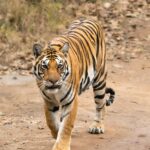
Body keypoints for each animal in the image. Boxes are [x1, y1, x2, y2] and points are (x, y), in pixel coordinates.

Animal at [32, 18, 115, 150]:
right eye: (45, 66)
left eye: (59, 66)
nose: (53, 81)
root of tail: (89, 18)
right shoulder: (48, 101)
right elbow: (51, 121)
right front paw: (56, 134)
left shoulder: (70, 101)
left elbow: (66, 126)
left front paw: (61, 146)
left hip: (100, 80)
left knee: (101, 104)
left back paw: (97, 126)